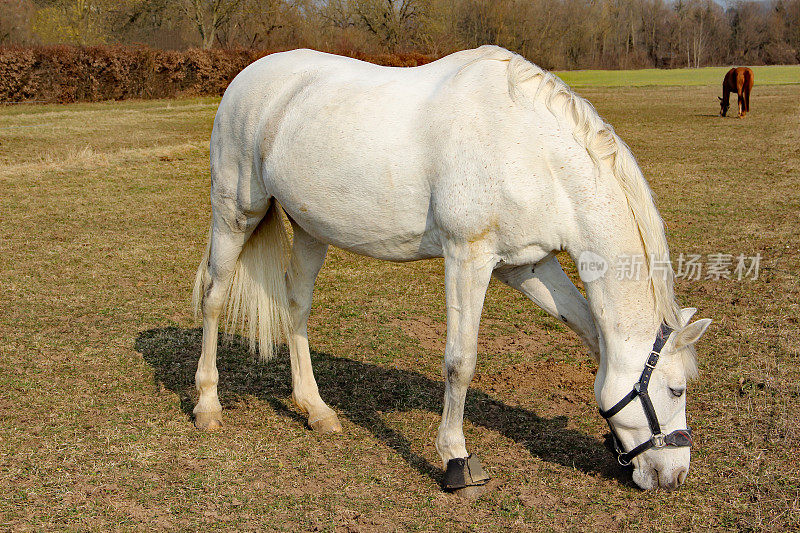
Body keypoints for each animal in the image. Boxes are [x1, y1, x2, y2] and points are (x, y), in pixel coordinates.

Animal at [192, 45, 712, 490]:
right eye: (676, 390)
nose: (674, 475)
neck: (532, 148)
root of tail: (246, 77)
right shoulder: (468, 257)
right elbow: (460, 362)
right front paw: (456, 459)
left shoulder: (527, 264)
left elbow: (589, 329)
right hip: (235, 213)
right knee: (214, 297)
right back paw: (208, 405)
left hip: (309, 228)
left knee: (296, 305)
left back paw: (315, 410)